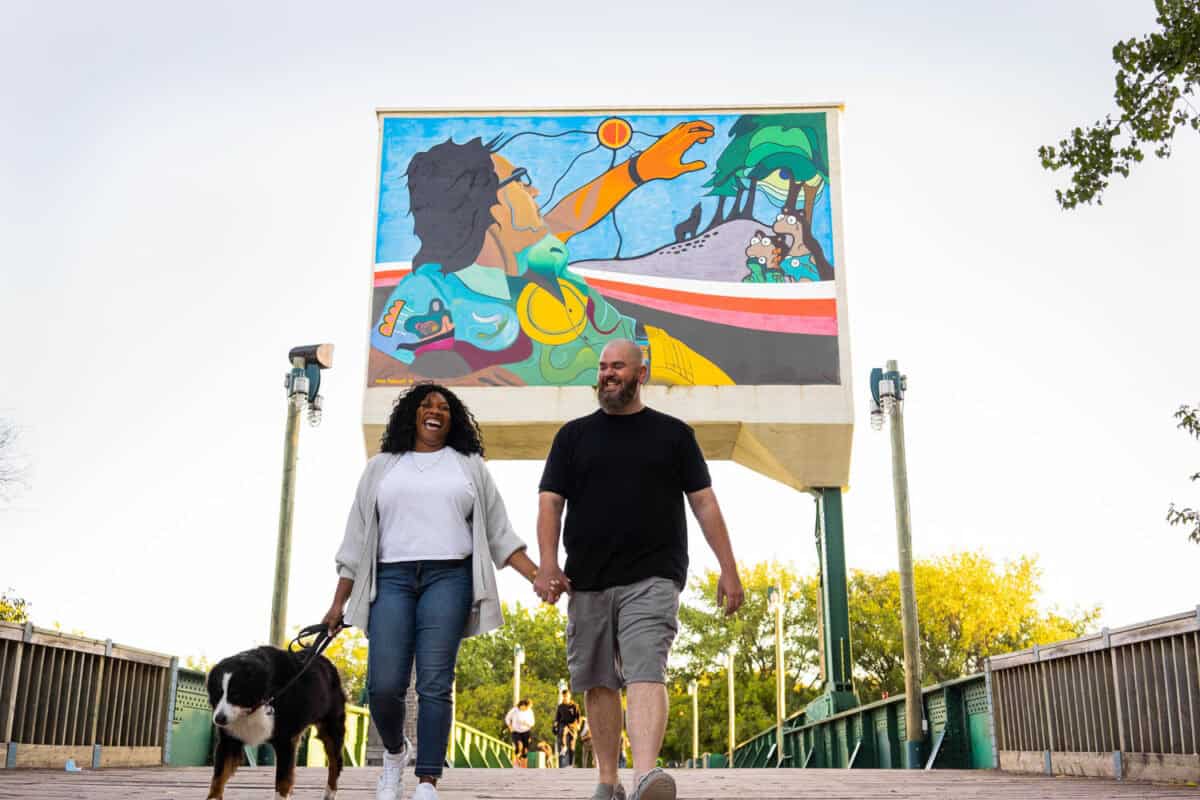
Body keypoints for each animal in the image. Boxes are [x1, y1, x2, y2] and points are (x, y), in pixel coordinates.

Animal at [205, 642, 348, 800]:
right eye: (217, 694)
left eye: (235, 694)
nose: (219, 719)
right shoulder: (229, 740)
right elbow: (218, 778)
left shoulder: (285, 740)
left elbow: (282, 779)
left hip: (331, 728)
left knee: (335, 762)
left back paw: (330, 792)